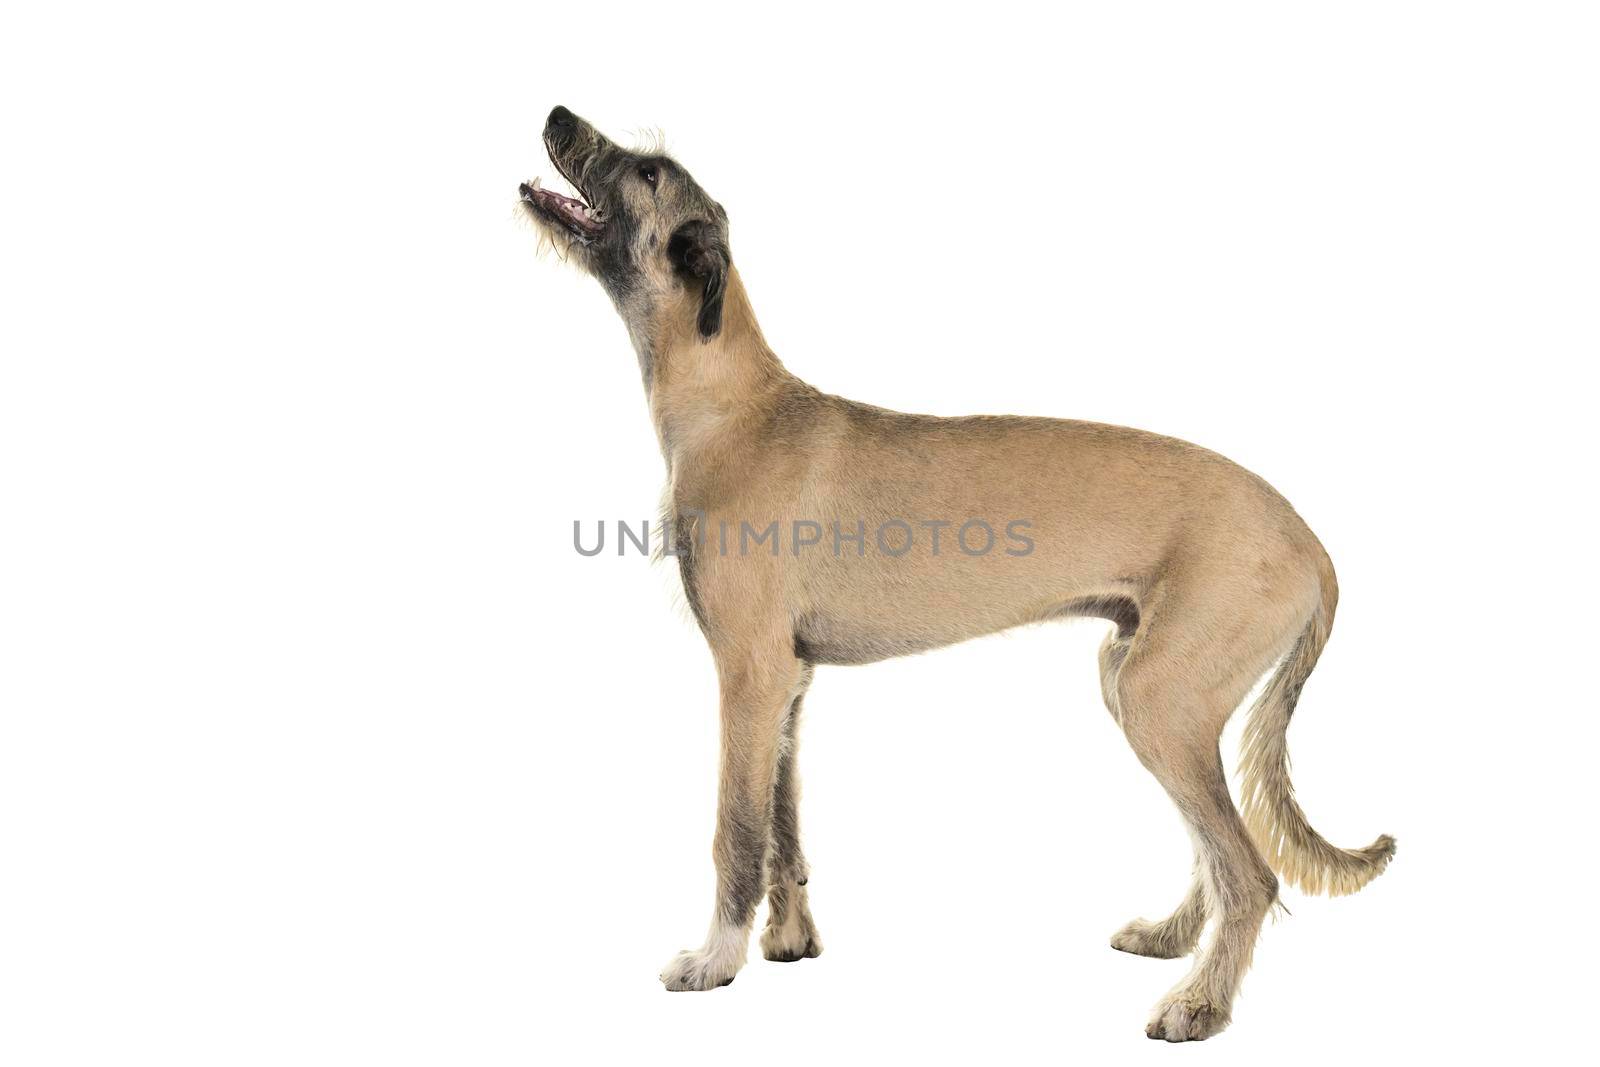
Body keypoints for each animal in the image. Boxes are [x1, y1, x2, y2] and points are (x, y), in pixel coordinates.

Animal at [521, 108, 1388, 1043]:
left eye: (646, 171)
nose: (558, 116)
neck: (732, 402)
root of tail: (1313, 542)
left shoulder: (747, 674)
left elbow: (738, 831)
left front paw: (715, 959)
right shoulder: (791, 681)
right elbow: (786, 829)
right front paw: (789, 940)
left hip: (1163, 697)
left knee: (1251, 871)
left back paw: (1199, 1001)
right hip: (1138, 682)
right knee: (1215, 848)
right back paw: (1172, 936)